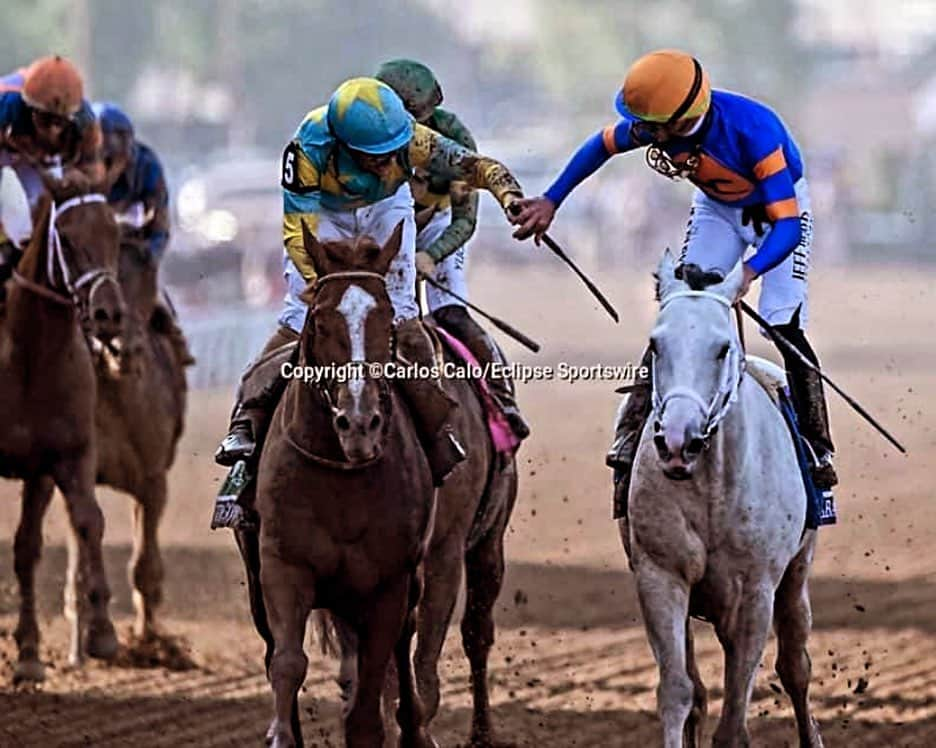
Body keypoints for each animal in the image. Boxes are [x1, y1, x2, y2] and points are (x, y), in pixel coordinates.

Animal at [247, 224, 440, 748]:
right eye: (319, 320)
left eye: (388, 319)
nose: (359, 422)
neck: (341, 477)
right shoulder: (283, 564)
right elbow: (287, 664)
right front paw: (280, 735)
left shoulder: (388, 584)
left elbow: (369, 702)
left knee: (401, 652)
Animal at [624, 251, 824, 748]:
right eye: (655, 346)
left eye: (721, 348)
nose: (677, 442)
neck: (713, 487)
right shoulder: (660, 574)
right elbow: (679, 691)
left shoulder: (756, 589)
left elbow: (734, 719)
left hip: (796, 573)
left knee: (796, 667)